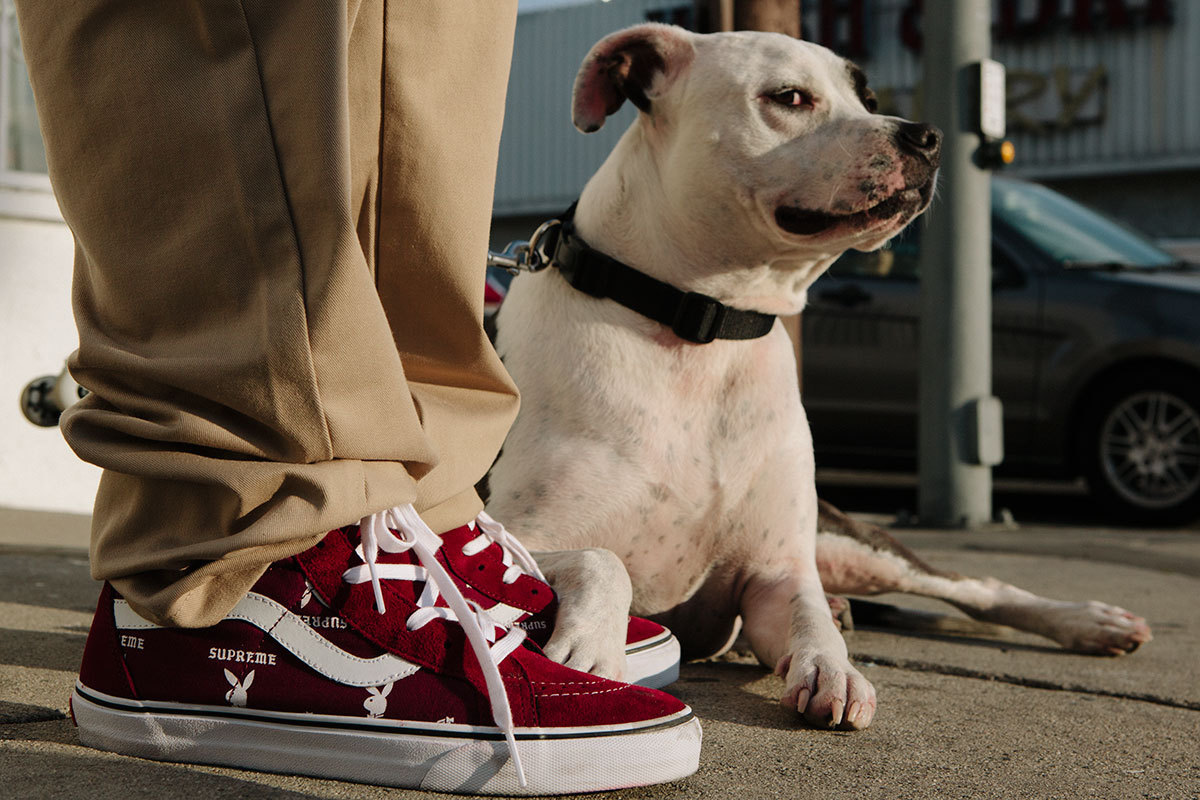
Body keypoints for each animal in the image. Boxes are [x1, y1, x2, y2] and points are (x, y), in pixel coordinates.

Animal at [487, 23, 1152, 734]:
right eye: (790, 97)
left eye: (869, 97)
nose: (926, 136)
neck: (701, 330)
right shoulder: (501, 530)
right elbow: (602, 558)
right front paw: (592, 649)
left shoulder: (777, 573)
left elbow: (808, 620)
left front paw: (834, 669)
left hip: (852, 543)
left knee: (978, 587)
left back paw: (1090, 622)